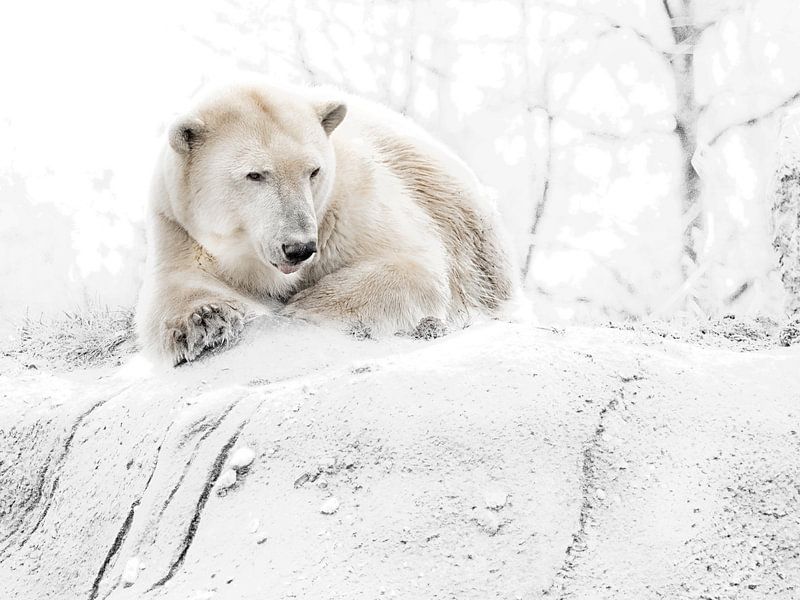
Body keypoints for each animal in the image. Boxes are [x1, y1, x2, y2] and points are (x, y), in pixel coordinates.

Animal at [137, 77, 520, 364]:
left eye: (313, 171)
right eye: (255, 174)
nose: (298, 248)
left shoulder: (349, 206)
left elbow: (412, 265)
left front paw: (301, 308)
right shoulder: (178, 227)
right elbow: (177, 286)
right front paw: (205, 322)